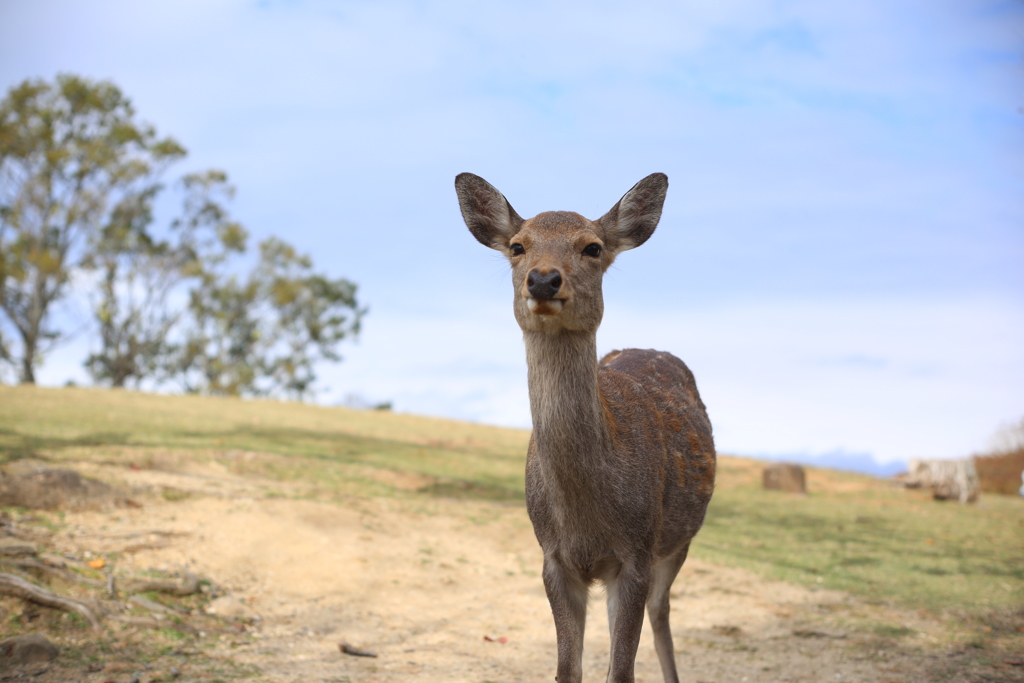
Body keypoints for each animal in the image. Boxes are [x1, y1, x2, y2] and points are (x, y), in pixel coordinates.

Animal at [452, 172, 716, 683]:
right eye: (517, 246)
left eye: (592, 247)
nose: (543, 279)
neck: (586, 519)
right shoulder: (552, 558)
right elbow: (566, 668)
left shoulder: (636, 553)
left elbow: (621, 671)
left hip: (679, 539)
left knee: (661, 611)